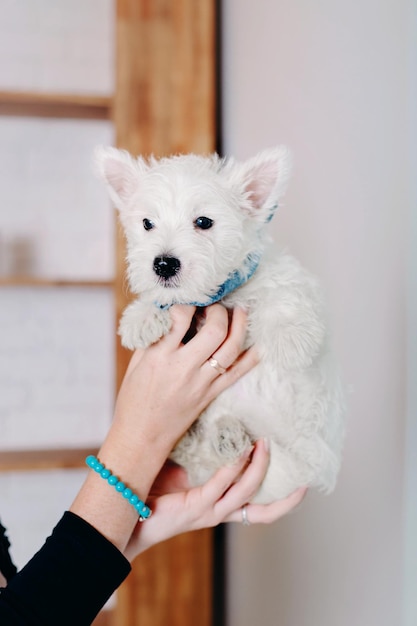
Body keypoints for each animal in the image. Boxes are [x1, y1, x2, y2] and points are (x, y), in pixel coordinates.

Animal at [96, 146, 344, 502]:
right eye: (147, 224)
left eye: (204, 222)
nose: (163, 264)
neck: (213, 298)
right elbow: (163, 298)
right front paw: (141, 318)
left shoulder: (278, 275)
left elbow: (282, 292)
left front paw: (290, 339)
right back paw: (213, 439)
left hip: (294, 466)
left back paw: (227, 439)